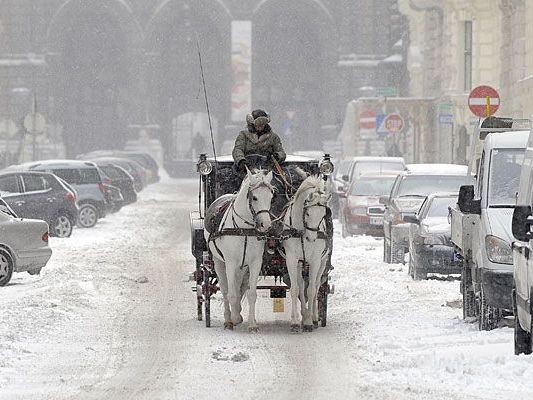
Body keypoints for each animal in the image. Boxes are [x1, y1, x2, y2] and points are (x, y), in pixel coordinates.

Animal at [207, 168, 276, 332]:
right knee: (225, 289)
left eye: (271, 197)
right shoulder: (231, 263)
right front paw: (232, 320)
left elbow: (251, 294)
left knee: (240, 286)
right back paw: (229, 317)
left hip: (243, 267)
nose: (266, 225)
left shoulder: (255, 263)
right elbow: (231, 293)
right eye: (255, 197)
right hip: (219, 262)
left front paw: (252, 324)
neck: (243, 230)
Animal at [282, 175, 328, 332]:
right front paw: (295, 321)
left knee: (317, 285)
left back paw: (313, 317)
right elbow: (295, 289)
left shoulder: (315, 261)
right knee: (301, 286)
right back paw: (304, 314)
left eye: (324, 215)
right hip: (300, 264)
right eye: (307, 213)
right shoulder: (291, 259)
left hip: (323, 263)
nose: (312, 238)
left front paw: (308, 322)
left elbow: (312, 290)